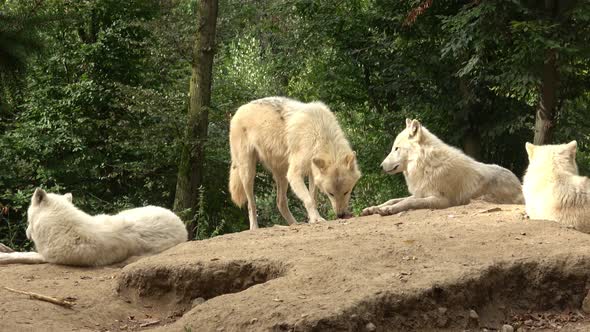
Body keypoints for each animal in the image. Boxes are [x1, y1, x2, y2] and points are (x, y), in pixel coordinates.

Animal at [0, 189, 187, 268]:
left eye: (27, 219)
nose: (26, 233)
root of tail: (181, 224)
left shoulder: (46, 257)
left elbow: (21, 255)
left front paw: (4, 256)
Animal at [230, 97, 360, 230]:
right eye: (331, 194)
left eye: (346, 192)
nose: (341, 215)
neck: (318, 133)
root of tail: (240, 109)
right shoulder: (294, 174)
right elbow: (309, 200)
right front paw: (317, 219)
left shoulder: (312, 173)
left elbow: (313, 199)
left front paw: (312, 219)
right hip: (249, 173)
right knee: (251, 205)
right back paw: (254, 227)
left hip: (282, 175)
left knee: (280, 202)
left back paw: (295, 224)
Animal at [364, 118, 524, 217]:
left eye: (396, 148)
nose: (380, 166)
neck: (425, 165)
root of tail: (519, 183)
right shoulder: (421, 192)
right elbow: (394, 199)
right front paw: (374, 208)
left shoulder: (441, 200)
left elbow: (409, 202)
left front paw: (387, 210)